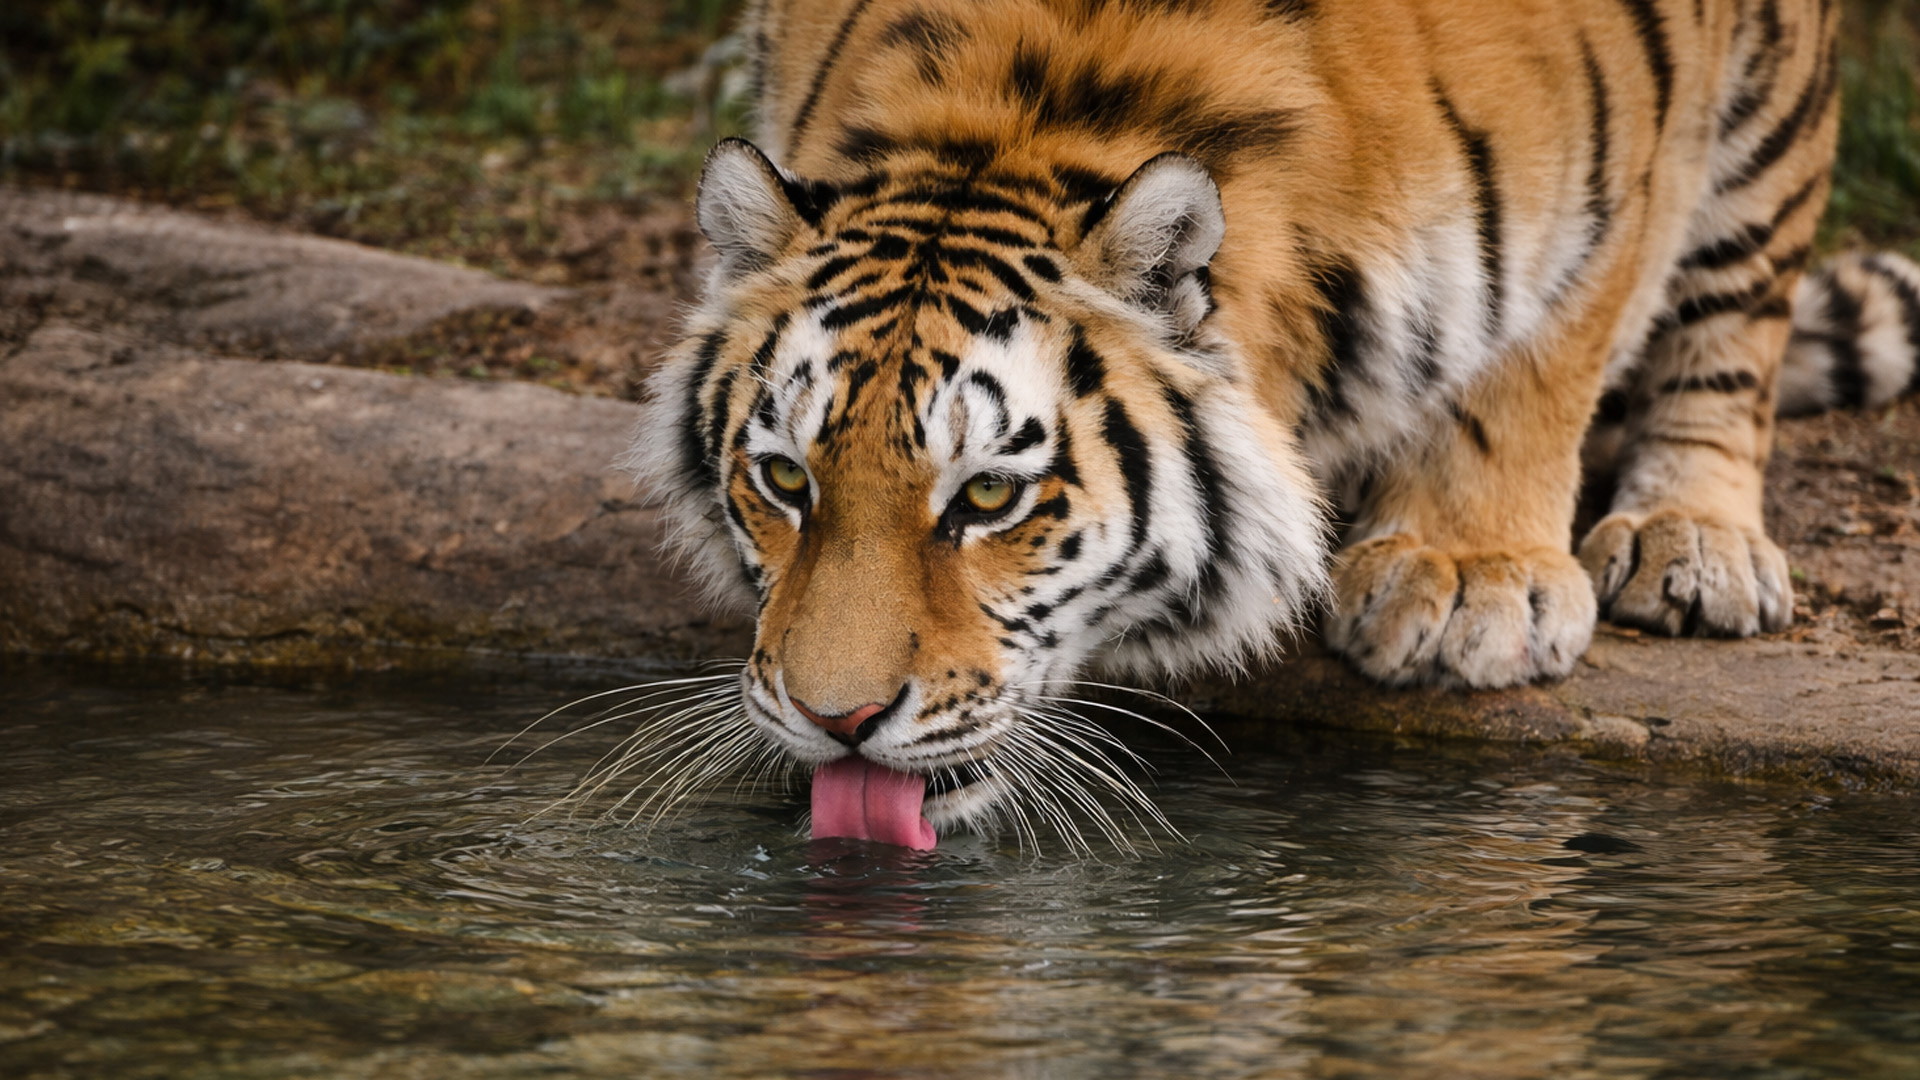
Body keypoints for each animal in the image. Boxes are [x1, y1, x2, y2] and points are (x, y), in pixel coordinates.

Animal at [627, 0, 1920, 848]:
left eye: (990, 496)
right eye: (785, 481)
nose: (834, 722)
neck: (1029, 116)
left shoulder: (1626, 162)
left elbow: (1543, 355)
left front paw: (1472, 579)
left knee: (1739, 303)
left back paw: (1693, 540)